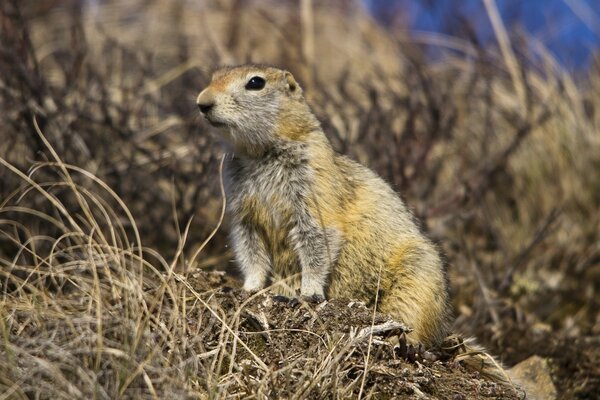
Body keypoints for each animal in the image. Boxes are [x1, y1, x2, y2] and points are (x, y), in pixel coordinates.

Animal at [197, 64, 450, 346]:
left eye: (255, 83)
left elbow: (318, 238)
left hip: (417, 274)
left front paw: (309, 293)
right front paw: (249, 288)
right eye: (214, 77)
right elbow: (249, 248)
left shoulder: (313, 188)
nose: (202, 103)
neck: (258, 154)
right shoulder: (243, 213)